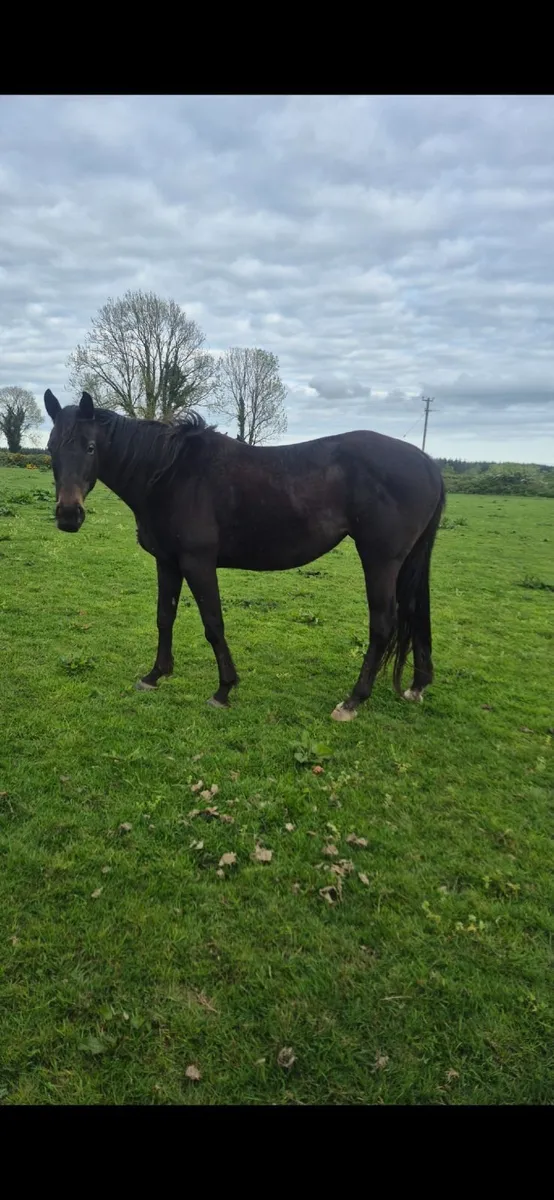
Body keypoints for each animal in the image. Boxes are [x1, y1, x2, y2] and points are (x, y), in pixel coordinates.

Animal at [44, 389, 445, 721]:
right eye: (50, 448)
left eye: (90, 447)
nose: (69, 515)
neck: (170, 473)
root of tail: (427, 462)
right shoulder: (167, 561)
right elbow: (164, 617)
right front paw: (155, 675)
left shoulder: (198, 562)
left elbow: (213, 625)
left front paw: (223, 690)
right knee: (414, 613)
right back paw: (417, 686)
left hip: (380, 561)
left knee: (383, 624)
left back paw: (352, 701)